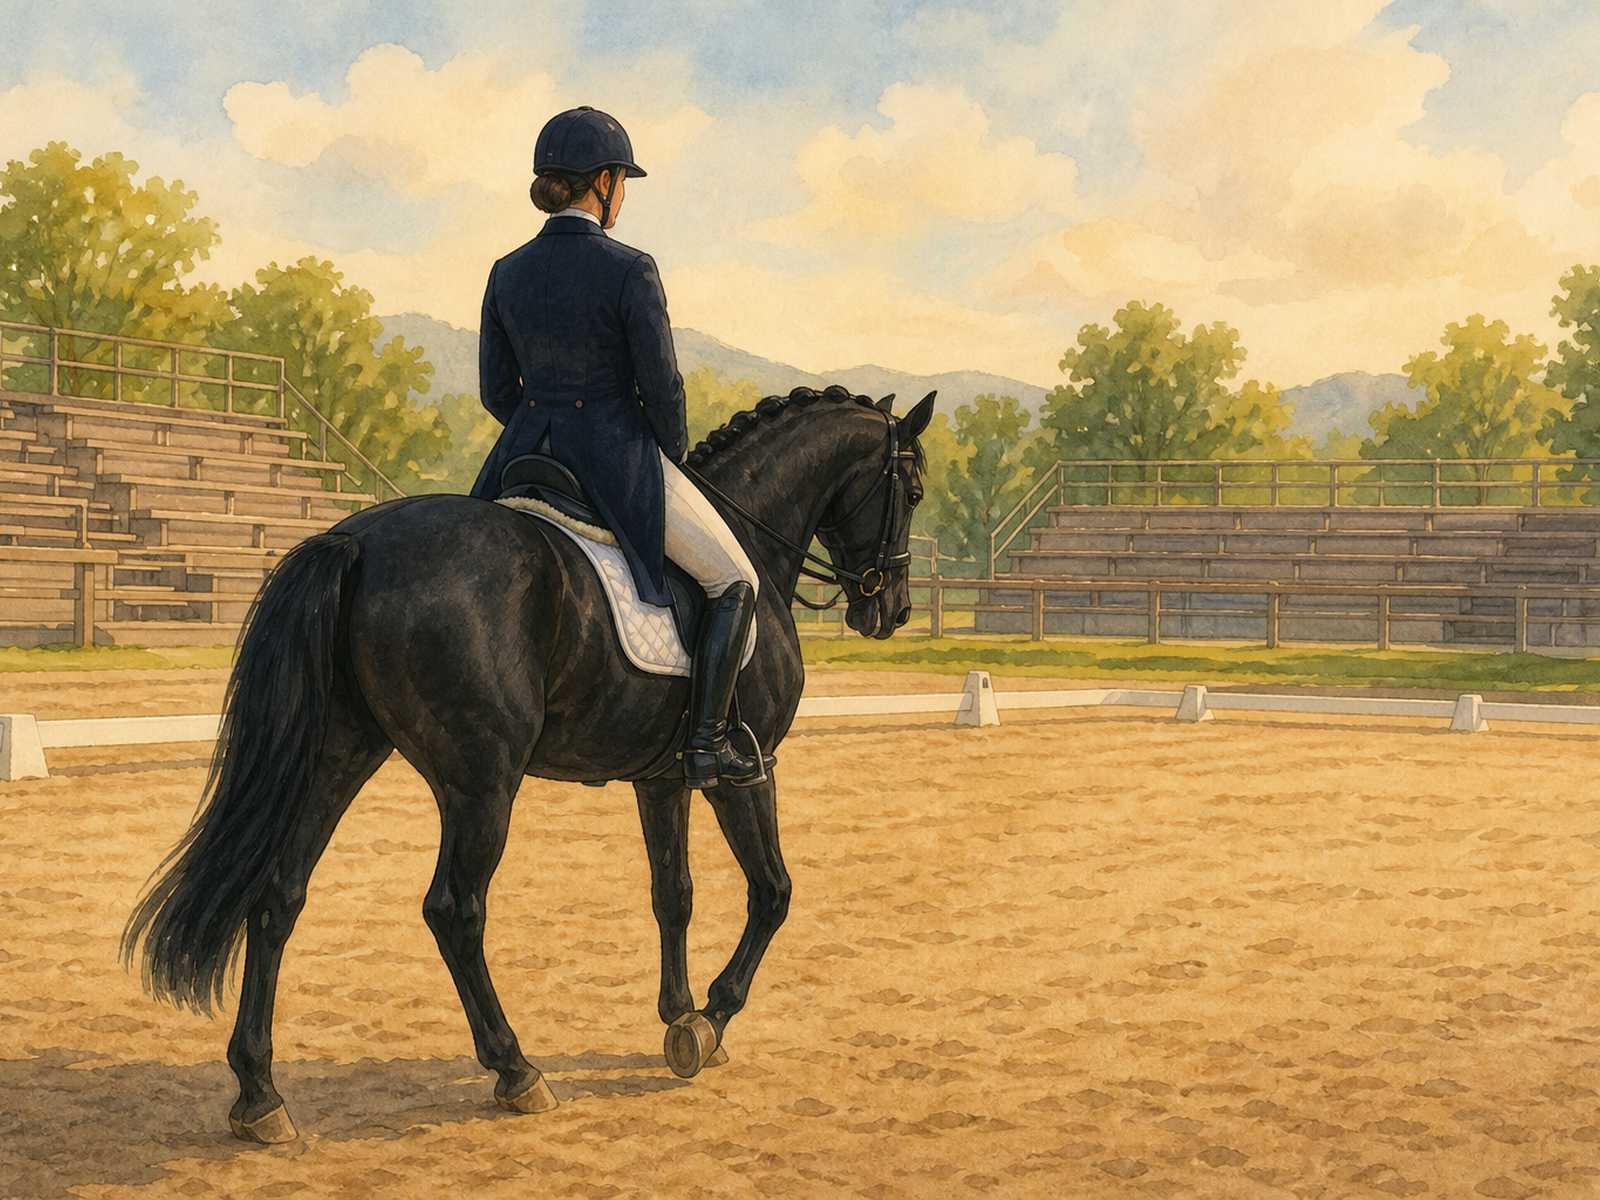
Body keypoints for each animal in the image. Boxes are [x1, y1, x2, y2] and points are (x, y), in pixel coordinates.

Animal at [123, 384, 935, 1144]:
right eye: (914, 491)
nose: (889, 610)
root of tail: (358, 540)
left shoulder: (663, 778)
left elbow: (672, 893)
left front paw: (677, 1019)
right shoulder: (748, 768)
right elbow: (773, 892)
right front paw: (712, 1020)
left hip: (339, 755)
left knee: (279, 896)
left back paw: (260, 1095)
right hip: (482, 780)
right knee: (454, 910)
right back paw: (516, 1070)